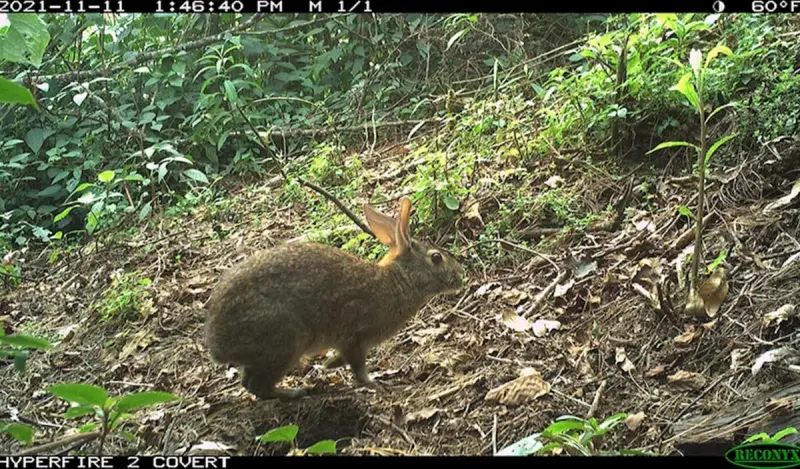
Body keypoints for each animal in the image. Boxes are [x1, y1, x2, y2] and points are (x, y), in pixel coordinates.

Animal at [203, 197, 466, 398]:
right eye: (436, 258)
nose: (460, 276)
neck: (399, 281)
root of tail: (218, 345)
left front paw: (328, 365)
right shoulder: (355, 337)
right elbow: (358, 368)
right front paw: (375, 383)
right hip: (284, 342)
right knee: (258, 386)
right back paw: (295, 392)